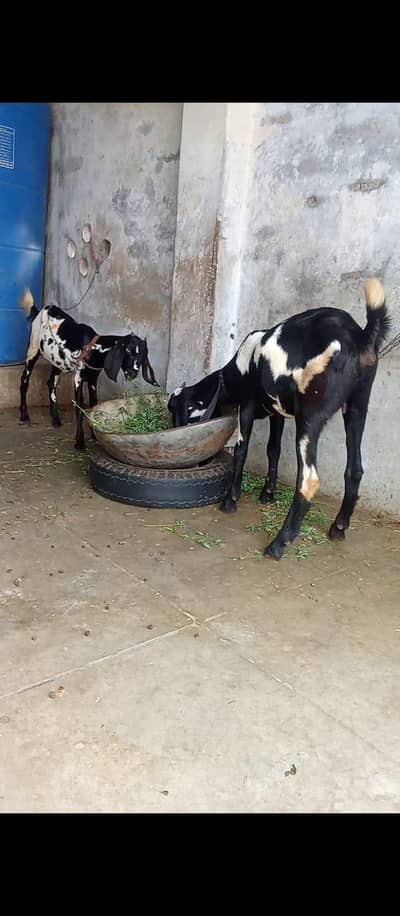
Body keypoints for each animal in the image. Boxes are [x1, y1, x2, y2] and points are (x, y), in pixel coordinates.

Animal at [18, 289, 159, 451]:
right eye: (127, 351)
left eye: (142, 354)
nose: (133, 372)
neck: (93, 349)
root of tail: (40, 311)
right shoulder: (78, 379)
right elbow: (79, 408)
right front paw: (79, 442)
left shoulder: (92, 379)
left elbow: (93, 405)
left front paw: (95, 434)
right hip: (33, 349)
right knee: (24, 381)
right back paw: (24, 415)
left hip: (57, 361)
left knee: (51, 383)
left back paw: (55, 419)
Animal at [168, 278, 390, 559]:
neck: (235, 371)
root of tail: (359, 336)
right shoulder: (278, 413)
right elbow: (273, 449)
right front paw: (267, 494)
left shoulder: (248, 405)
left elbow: (242, 449)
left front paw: (231, 499)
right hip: (357, 406)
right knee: (355, 469)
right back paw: (338, 527)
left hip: (311, 417)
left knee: (309, 480)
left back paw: (278, 544)